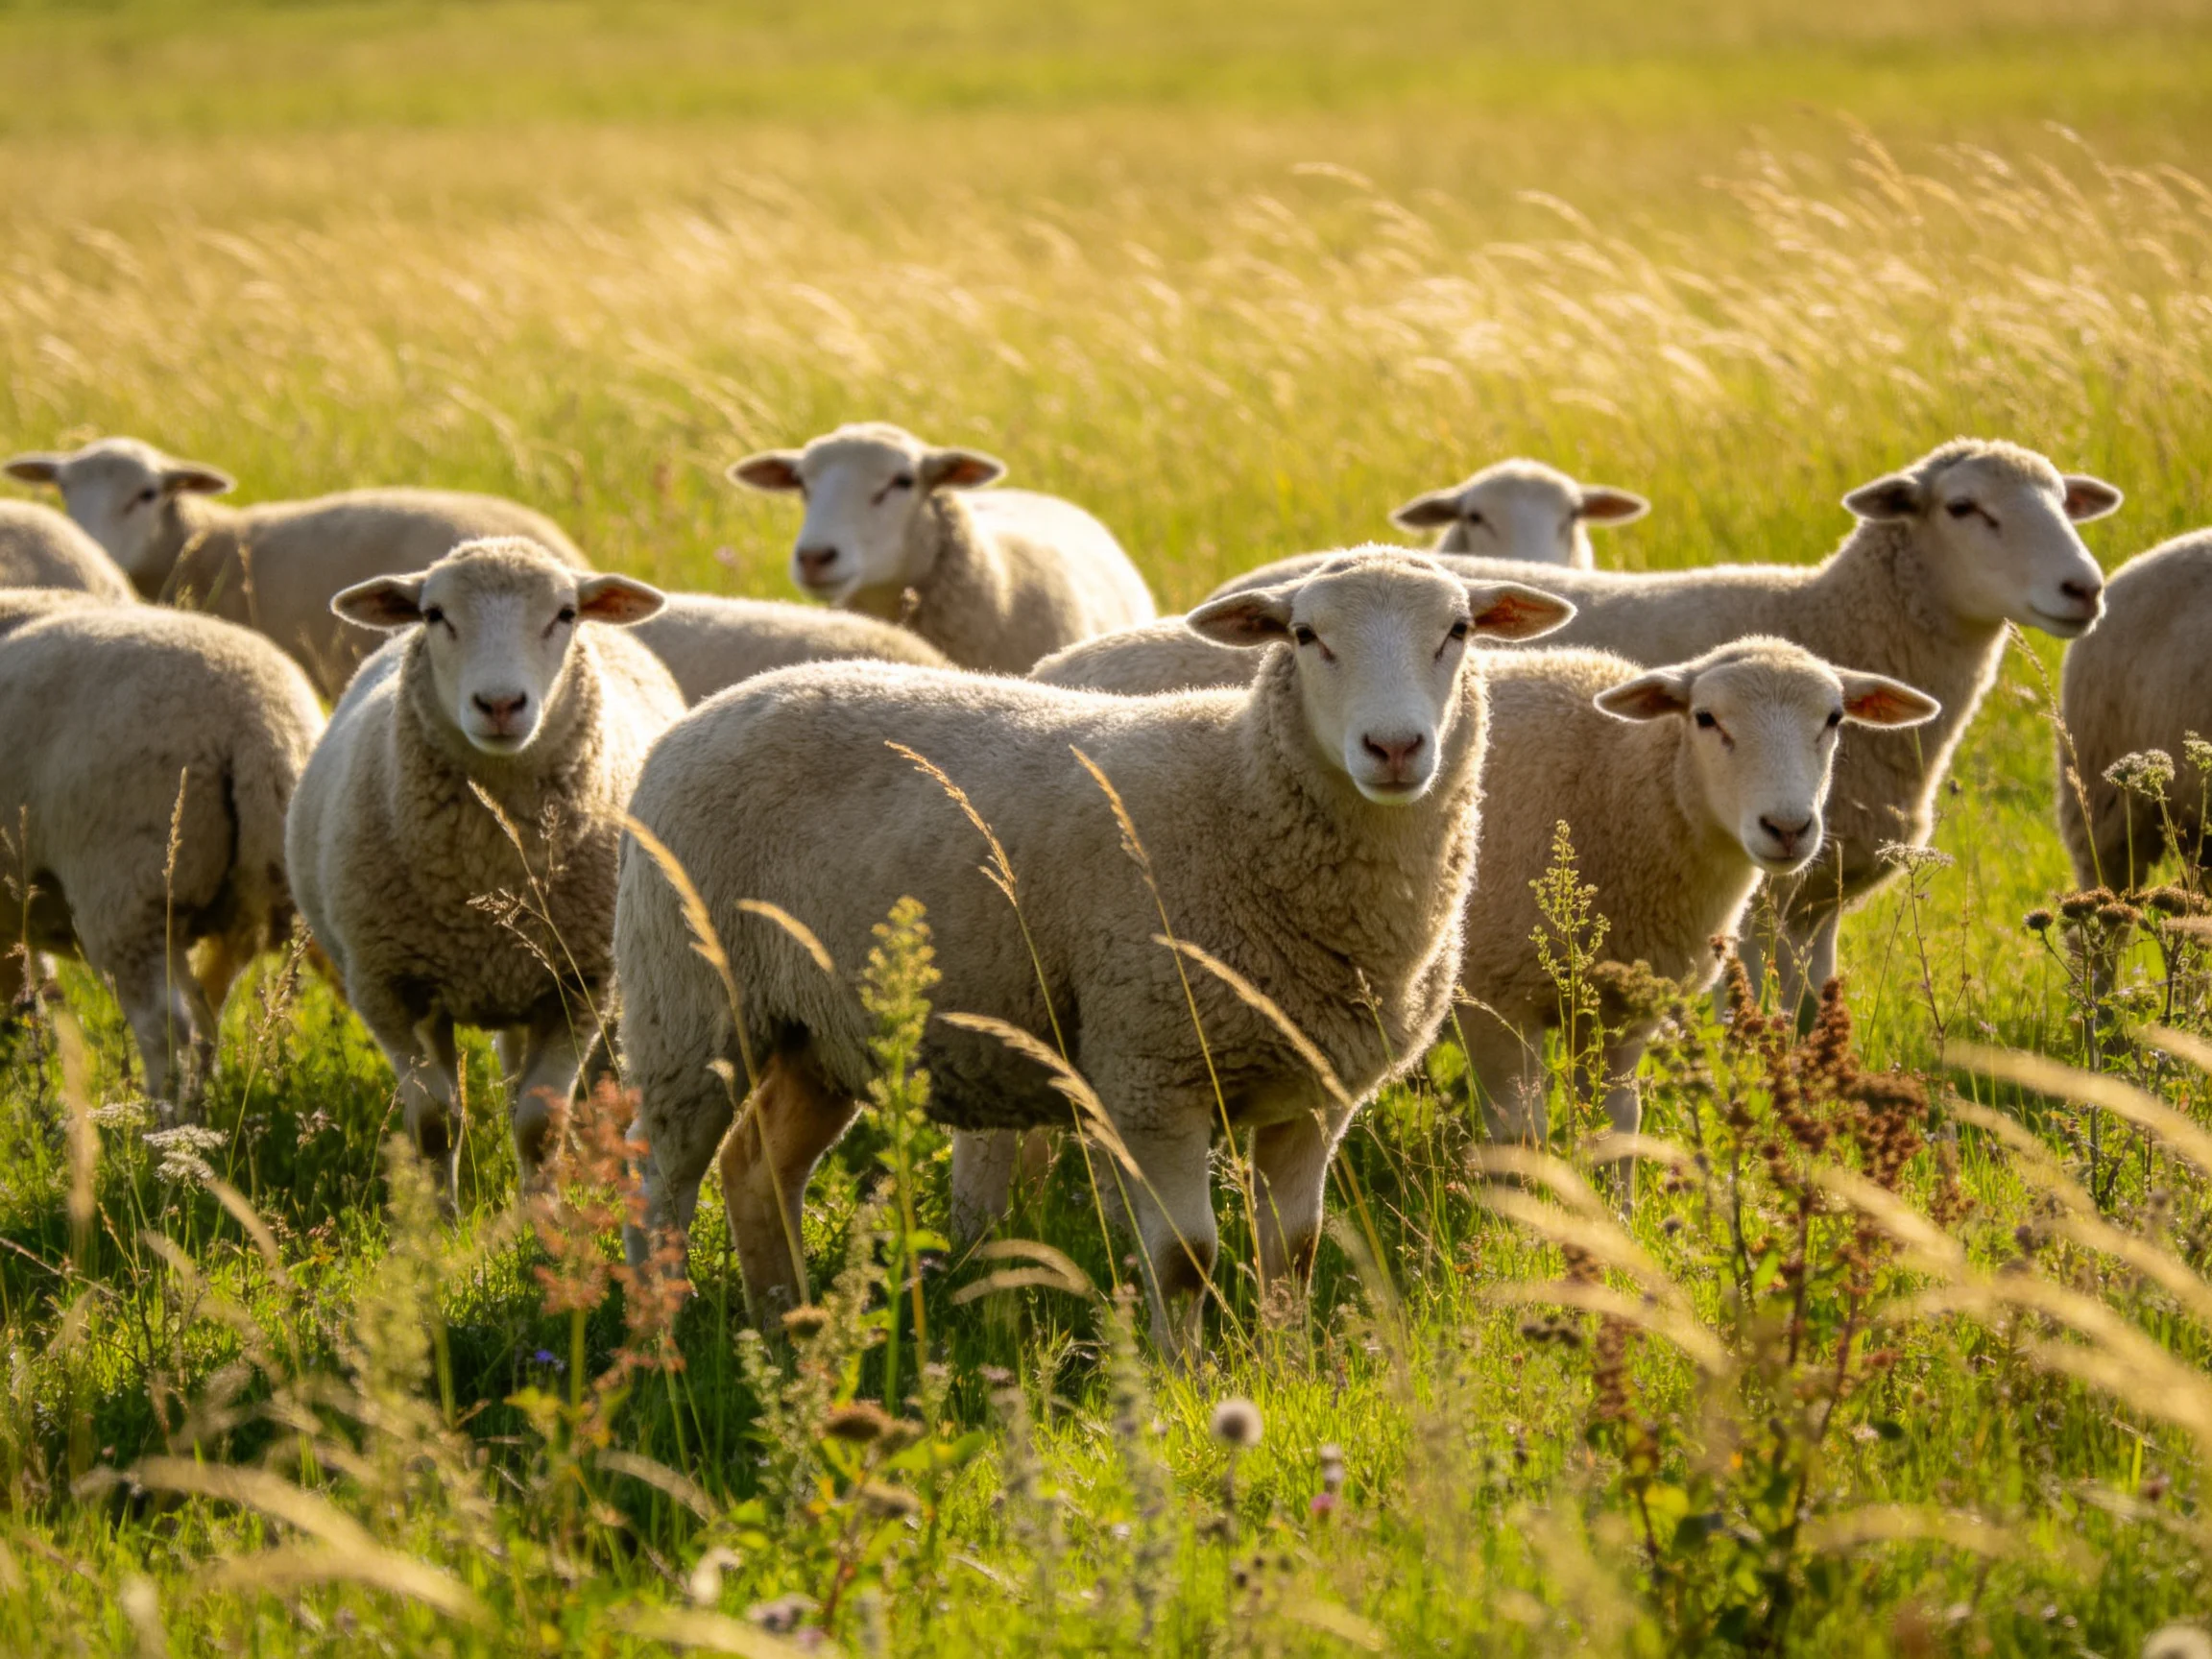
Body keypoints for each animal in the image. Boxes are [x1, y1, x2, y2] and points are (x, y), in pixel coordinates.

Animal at [0, 603, 324, 1106]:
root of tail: (261, 732)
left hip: (130, 890)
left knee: (168, 1028)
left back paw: (163, 1121)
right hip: (233, 909)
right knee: (207, 1021)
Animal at [285, 538, 682, 1199]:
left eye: (565, 614)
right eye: (434, 614)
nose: (500, 704)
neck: (489, 870)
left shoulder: (579, 984)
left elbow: (539, 1122)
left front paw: (539, 1212)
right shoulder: (389, 986)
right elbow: (434, 1122)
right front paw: (439, 1218)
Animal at [1456, 639, 1938, 1143]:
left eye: (1834, 718)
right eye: (1705, 718)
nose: (1787, 828)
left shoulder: (1623, 1011)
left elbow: (1618, 1126)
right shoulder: (1494, 1003)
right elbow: (1519, 1136)